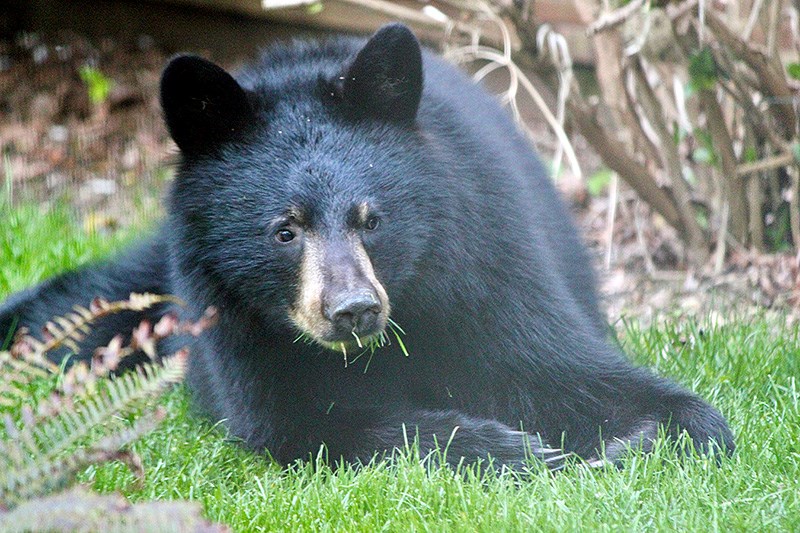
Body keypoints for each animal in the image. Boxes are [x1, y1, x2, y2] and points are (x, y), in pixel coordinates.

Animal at [0, 23, 732, 470]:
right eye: (284, 229)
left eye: (372, 219)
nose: (353, 310)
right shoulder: (229, 310)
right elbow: (305, 421)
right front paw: (515, 450)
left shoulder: (481, 260)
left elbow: (562, 369)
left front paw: (653, 433)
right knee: (77, 312)